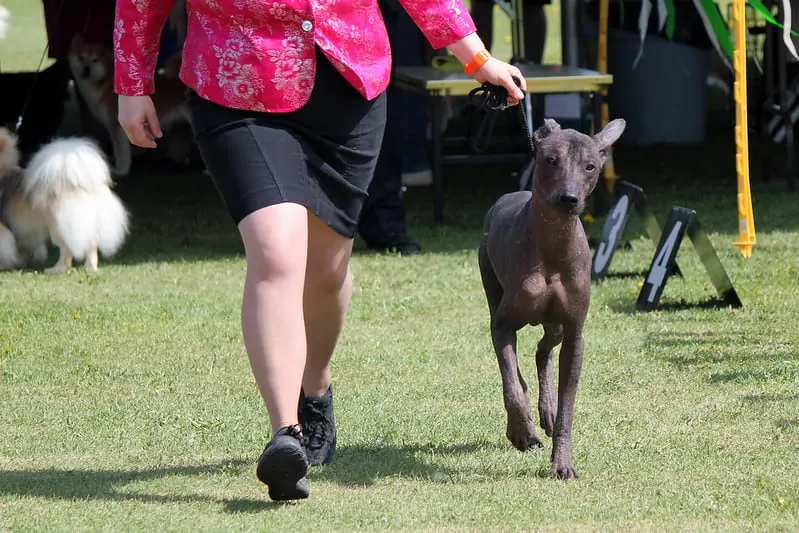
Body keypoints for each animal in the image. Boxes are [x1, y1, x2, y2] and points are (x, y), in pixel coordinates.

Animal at [67, 34, 189, 178]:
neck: (104, 84)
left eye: (95, 60)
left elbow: (121, 153)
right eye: (81, 58)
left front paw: (120, 170)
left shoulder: (117, 128)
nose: (86, 69)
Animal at [478, 116, 628, 478]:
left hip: (557, 326)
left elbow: (568, 406)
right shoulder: (503, 324)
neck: (552, 245)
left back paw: (546, 410)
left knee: (542, 351)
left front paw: (562, 462)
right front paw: (521, 432)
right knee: (517, 369)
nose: (569, 198)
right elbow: (511, 386)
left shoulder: (575, 334)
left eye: (590, 166)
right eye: (551, 160)